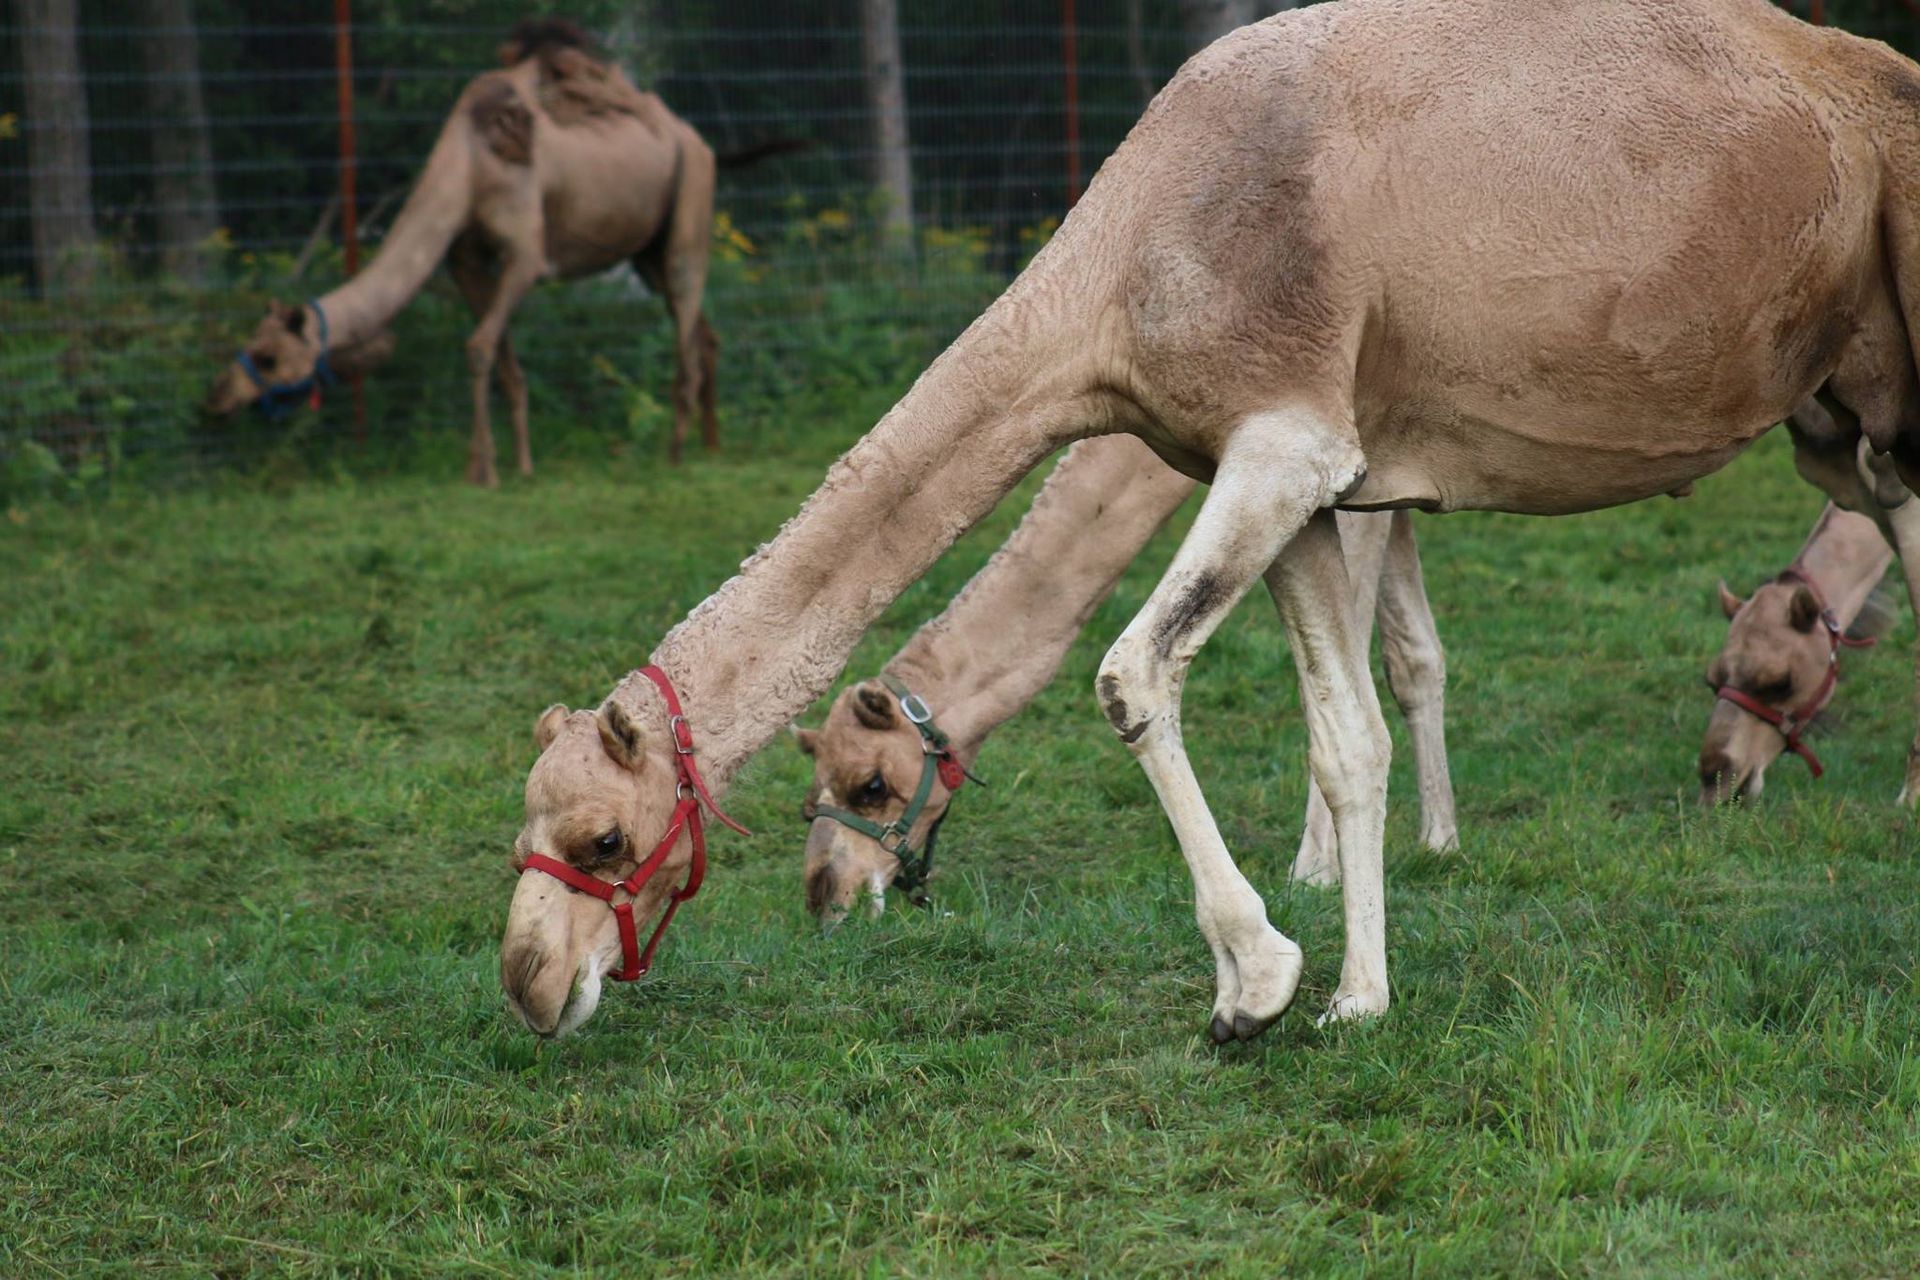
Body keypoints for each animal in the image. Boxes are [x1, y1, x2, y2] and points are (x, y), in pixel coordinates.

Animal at [205, 19, 748, 485]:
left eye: (269, 357)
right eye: (253, 345)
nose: (217, 397)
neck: (467, 164)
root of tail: (696, 138)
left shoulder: (525, 254)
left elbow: (480, 346)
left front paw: (481, 471)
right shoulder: (464, 258)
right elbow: (504, 360)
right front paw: (522, 466)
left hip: (691, 203)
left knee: (685, 320)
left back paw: (675, 455)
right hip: (647, 253)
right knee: (703, 329)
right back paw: (712, 445)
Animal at [793, 433, 1454, 923]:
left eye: (872, 786)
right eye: (807, 804)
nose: (824, 898)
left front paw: (1315, 872)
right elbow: (1414, 655)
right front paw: (1439, 843)